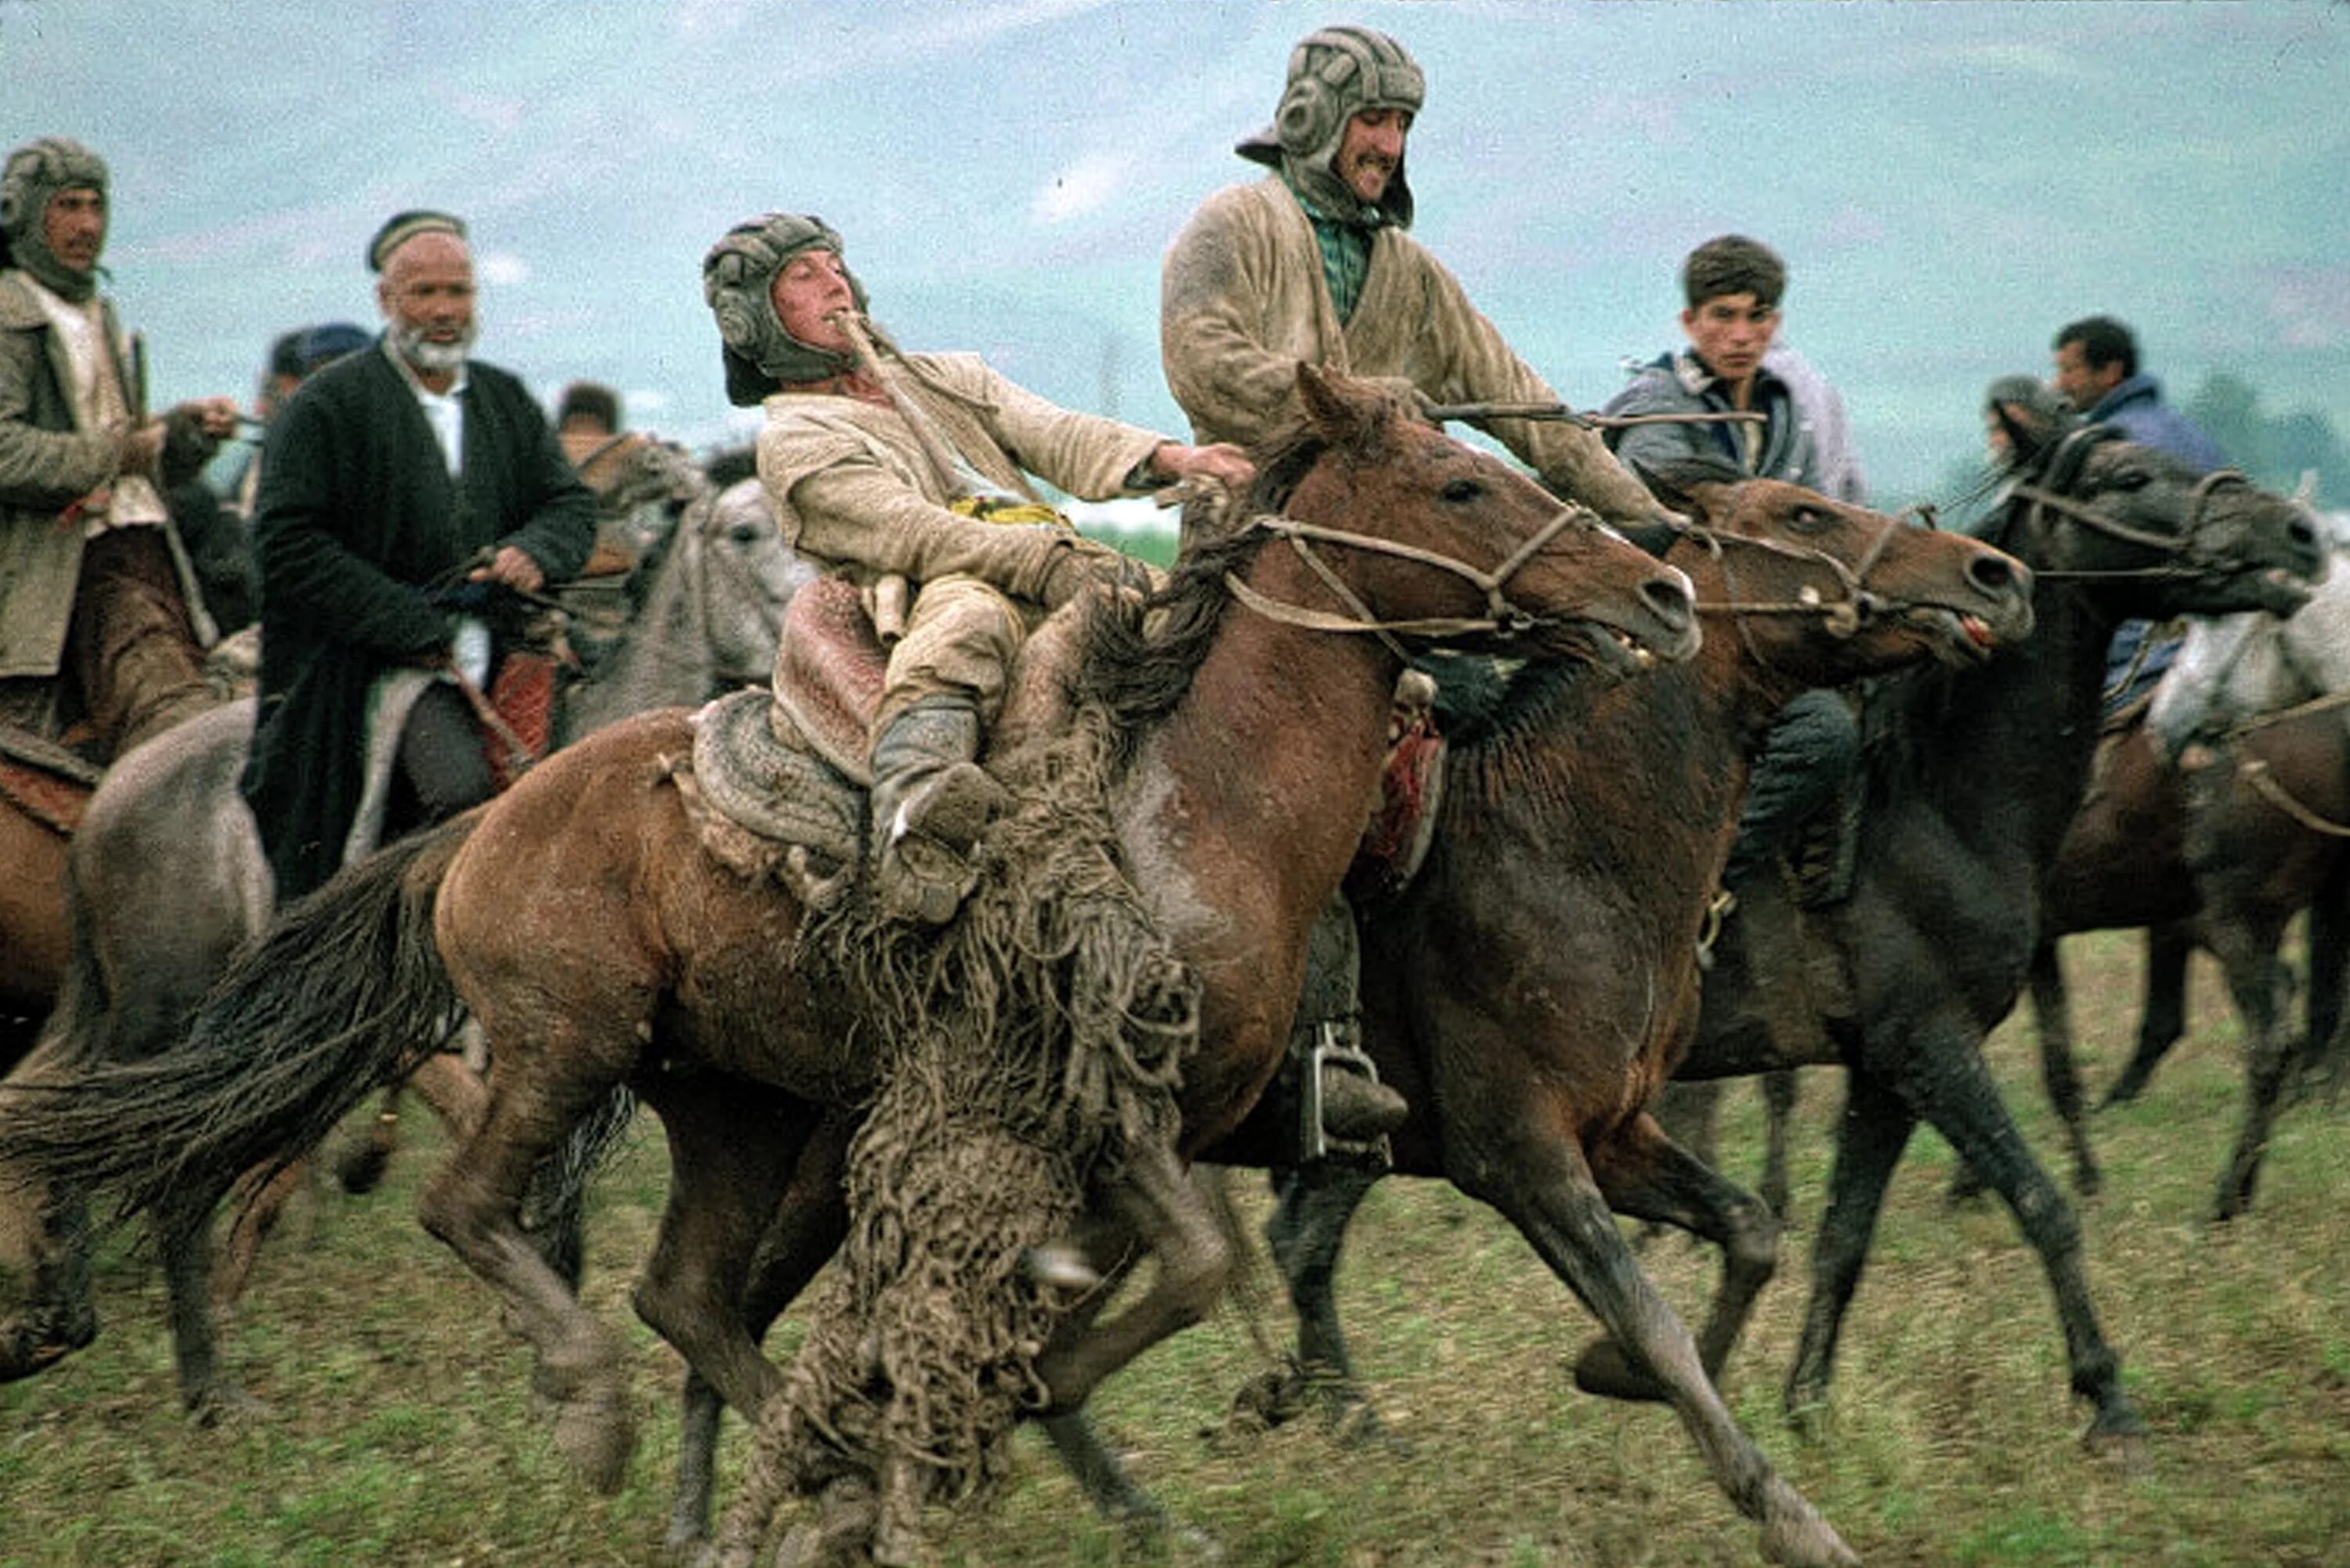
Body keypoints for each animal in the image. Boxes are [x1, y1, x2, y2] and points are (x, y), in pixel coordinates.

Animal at [0, 470, 808, 1419]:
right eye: (746, 533)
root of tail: (114, 792)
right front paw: (552, 1358)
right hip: (167, 1013)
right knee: (136, 1148)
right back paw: (187, 1374)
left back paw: (80, 1329)